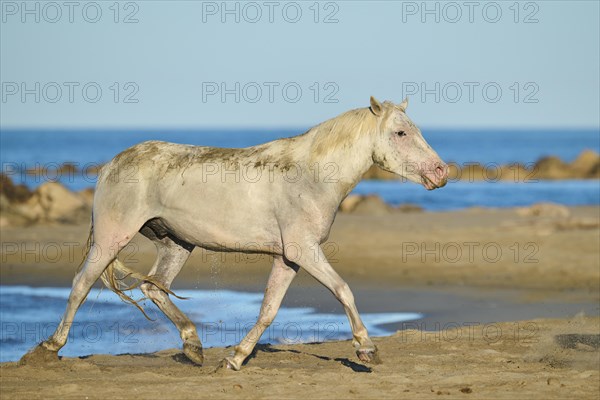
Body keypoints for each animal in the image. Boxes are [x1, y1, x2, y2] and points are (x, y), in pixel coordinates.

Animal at [21, 96, 448, 368]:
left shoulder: (289, 257)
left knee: (153, 288)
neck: (310, 175)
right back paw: (47, 349)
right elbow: (343, 290)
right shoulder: (304, 251)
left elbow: (268, 309)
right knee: (81, 284)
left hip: (177, 244)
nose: (441, 172)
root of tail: (112, 164)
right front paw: (366, 349)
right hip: (113, 237)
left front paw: (235, 358)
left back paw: (194, 346)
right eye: (401, 134)